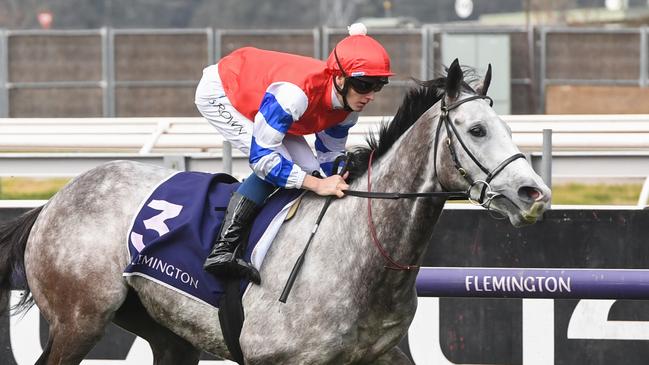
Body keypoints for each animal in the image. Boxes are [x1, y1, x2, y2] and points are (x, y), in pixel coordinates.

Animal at [0, 58, 548, 362]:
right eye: (477, 129)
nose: (534, 194)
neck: (359, 256)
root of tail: (53, 201)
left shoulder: (380, 354)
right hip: (80, 320)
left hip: (164, 332)